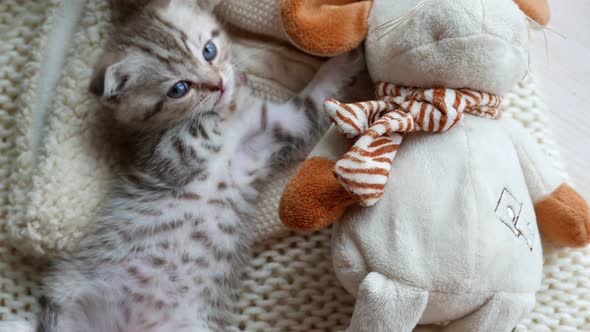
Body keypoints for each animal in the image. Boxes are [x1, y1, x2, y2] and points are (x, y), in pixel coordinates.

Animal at [34, 0, 364, 332]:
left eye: (209, 50)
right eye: (179, 89)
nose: (218, 85)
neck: (232, 118)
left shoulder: (279, 128)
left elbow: (314, 98)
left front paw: (344, 59)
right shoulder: (167, 156)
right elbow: (197, 128)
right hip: (65, 302)